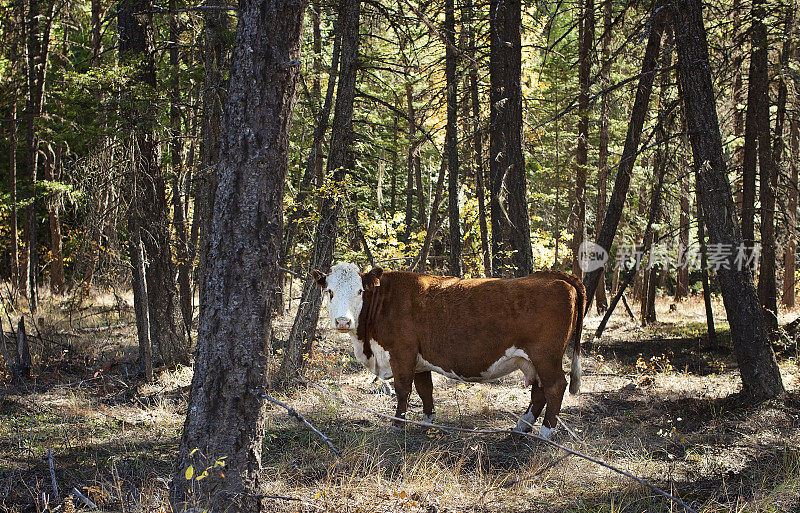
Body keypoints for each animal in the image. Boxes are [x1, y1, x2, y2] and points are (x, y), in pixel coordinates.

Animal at [314, 264, 588, 436]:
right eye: (329, 291)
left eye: (359, 291)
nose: (342, 321)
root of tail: (553, 275)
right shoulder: (419, 359)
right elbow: (425, 390)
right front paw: (428, 421)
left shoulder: (402, 353)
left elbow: (403, 390)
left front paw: (397, 424)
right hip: (534, 360)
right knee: (539, 391)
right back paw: (522, 427)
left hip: (546, 357)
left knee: (555, 387)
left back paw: (546, 432)